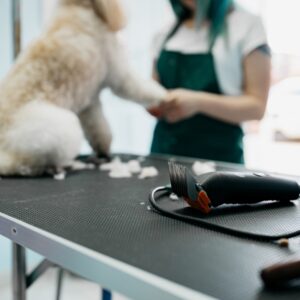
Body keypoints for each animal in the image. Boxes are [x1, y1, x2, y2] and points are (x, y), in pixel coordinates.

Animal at [0, 0, 165, 176]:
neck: (78, 6)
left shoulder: (90, 102)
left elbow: (99, 129)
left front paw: (103, 150)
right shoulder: (119, 73)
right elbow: (141, 88)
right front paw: (166, 96)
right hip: (61, 127)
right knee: (20, 163)